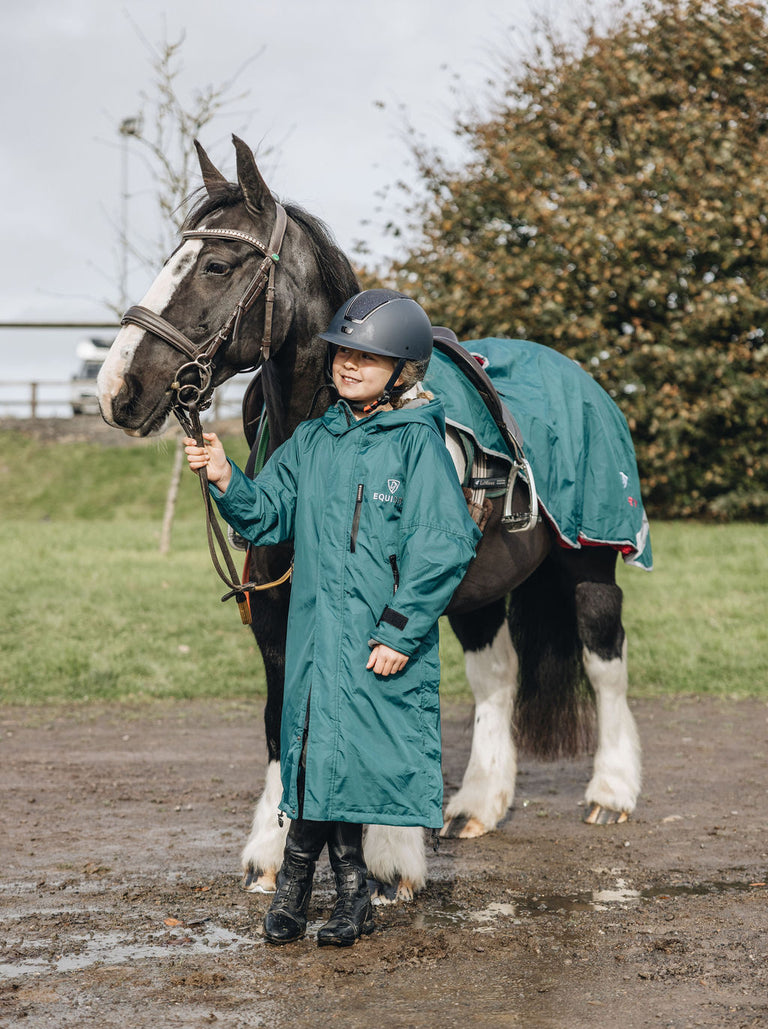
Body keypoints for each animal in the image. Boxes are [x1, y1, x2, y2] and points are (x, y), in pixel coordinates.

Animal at [97, 135, 643, 901]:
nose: (117, 387)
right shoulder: (277, 614)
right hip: (478, 593)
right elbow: (279, 717)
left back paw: (612, 791)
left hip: (590, 558)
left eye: (216, 265)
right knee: (497, 677)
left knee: (603, 658)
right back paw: (478, 803)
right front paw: (272, 847)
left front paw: (388, 857)